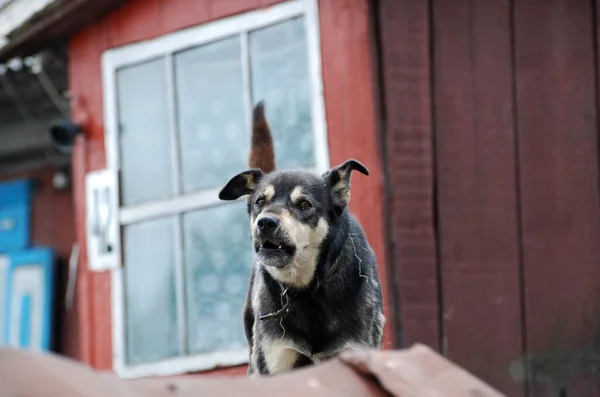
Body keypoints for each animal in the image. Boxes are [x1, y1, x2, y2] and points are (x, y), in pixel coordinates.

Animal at [217, 101, 384, 374]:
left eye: (304, 204)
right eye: (260, 202)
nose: (265, 223)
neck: (308, 288)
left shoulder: (355, 350)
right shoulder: (276, 359)